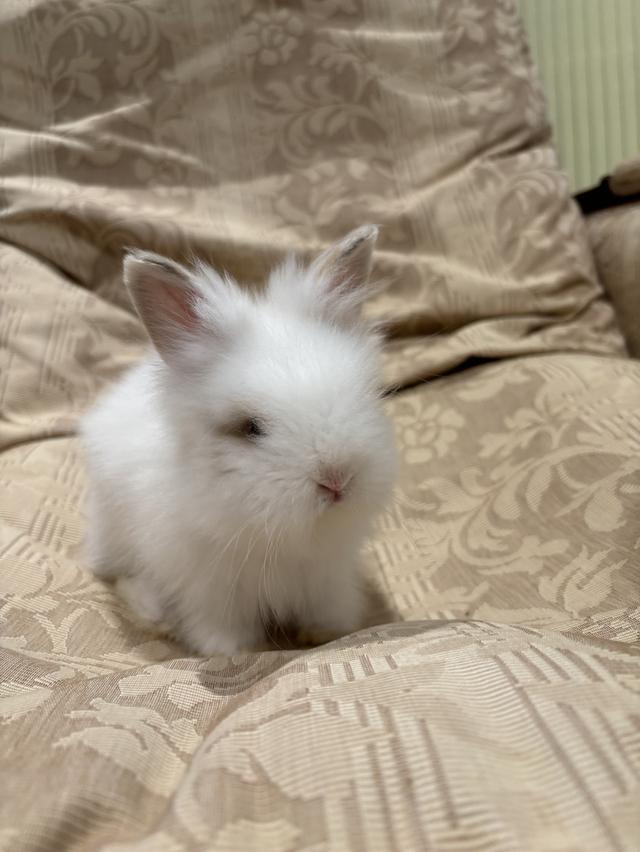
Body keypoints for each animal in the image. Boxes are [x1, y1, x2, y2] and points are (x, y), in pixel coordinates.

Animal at [81, 225, 396, 656]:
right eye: (250, 427)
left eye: (366, 393)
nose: (337, 480)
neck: (288, 540)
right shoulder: (211, 589)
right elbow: (222, 632)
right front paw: (230, 651)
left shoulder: (327, 577)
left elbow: (327, 611)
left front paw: (324, 633)